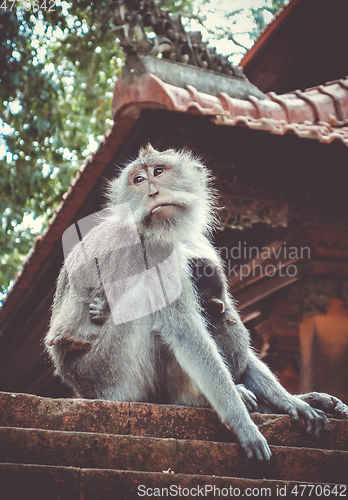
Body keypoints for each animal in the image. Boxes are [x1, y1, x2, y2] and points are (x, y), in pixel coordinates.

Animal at [46, 145, 348, 460]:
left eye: (158, 172)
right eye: (138, 179)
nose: (152, 191)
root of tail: (79, 387)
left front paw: (291, 401)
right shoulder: (154, 249)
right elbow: (185, 332)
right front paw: (244, 425)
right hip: (108, 376)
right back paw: (193, 399)